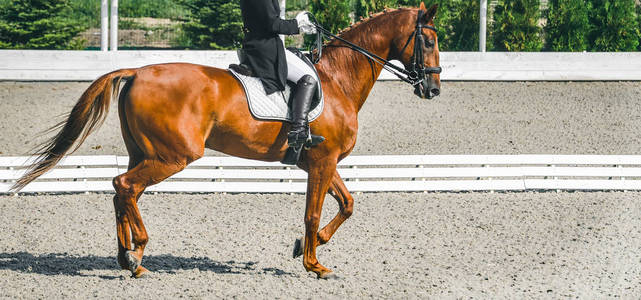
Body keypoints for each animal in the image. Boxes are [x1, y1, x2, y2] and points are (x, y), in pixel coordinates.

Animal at [13, 4, 440, 278]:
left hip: (144, 152)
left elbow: (347, 204)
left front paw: (306, 246)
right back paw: (137, 254)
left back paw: (126, 256)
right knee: (125, 186)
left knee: (121, 190)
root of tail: (136, 71)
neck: (338, 80)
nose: (433, 89)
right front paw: (314, 265)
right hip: (174, 156)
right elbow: (314, 212)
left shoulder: (321, 160)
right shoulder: (322, 161)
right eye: (429, 42)